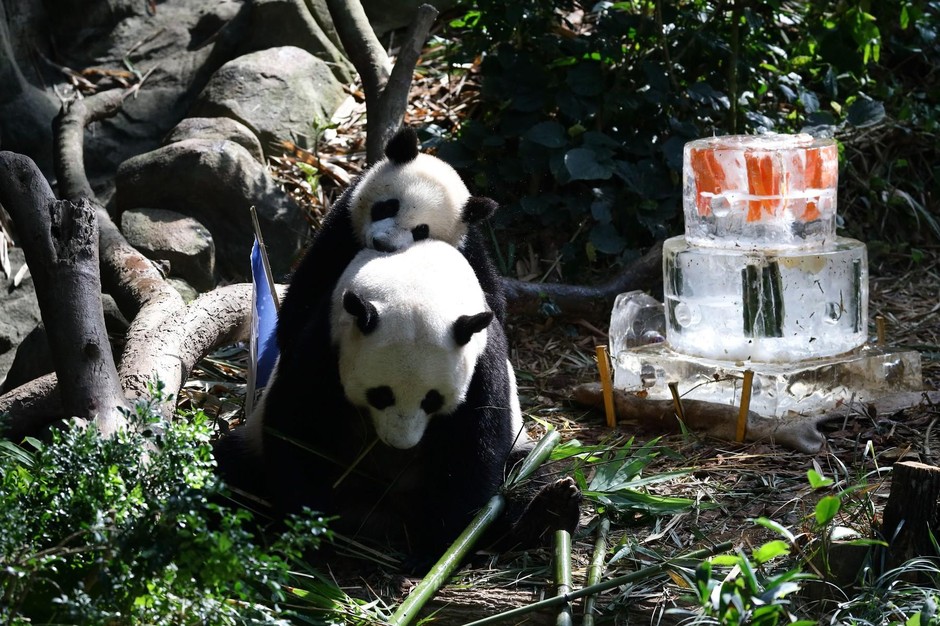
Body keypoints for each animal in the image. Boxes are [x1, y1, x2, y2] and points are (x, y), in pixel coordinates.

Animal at [216, 240, 576, 572]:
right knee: (234, 469)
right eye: (380, 395)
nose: (400, 444)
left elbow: (473, 451)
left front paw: (434, 550)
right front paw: (310, 534)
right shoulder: (325, 342)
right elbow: (298, 431)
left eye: (432, 400)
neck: (417, 270)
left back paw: (551, 508)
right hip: (254, 449)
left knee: (525, 474)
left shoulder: (482, 362)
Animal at [276, 127, 504, 360]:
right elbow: (313, 276)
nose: (382, 244)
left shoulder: (469, 248)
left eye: (421, 231)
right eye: (387, 207)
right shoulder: (341, 226)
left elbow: (491, 298)